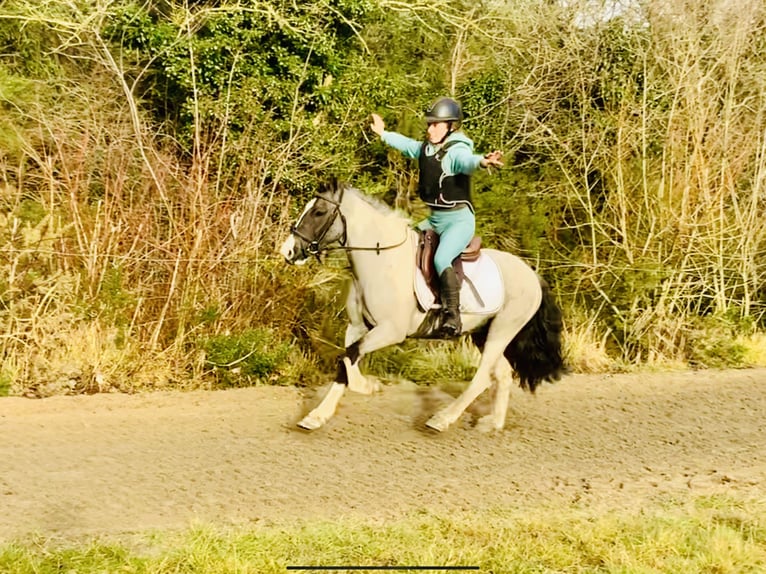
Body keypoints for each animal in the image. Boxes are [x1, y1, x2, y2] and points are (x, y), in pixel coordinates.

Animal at [280, 180, 568, 432]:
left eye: (318, 212)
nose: (288, 251)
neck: (380, 260)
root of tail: (533, 275)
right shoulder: (357, 327)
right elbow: (346, 360)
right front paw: (316, 417)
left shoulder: (390, 331)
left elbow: (349, 356)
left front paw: (368, 386)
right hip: (483, 332)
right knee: (503, 374)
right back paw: (492, 423)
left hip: (503, 330)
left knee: (483, 377)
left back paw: (442, 420)